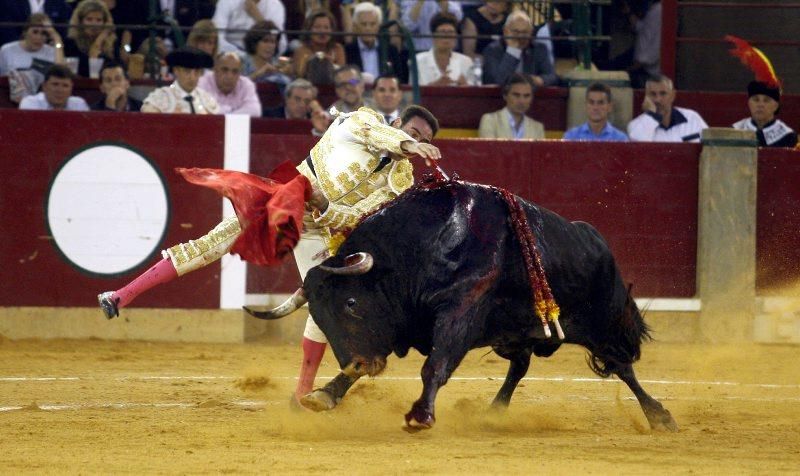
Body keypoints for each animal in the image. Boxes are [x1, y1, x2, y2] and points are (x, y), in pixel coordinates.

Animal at [245, 179, 676, 432]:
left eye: (351, 303)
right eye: (318, 316)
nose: (358, 362)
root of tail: (596, 241)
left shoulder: (459, 313)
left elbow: (435, 365)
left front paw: (420, 416)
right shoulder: (404, 321)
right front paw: (325, 394)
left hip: (602, 324)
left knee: (623, 368)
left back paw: (660, 416)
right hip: (514, 334)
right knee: (520, 366)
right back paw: (494, 410)